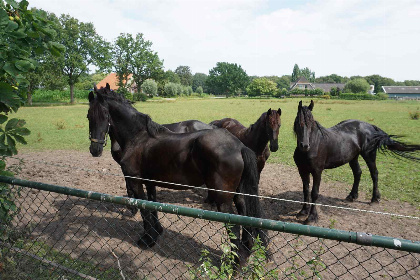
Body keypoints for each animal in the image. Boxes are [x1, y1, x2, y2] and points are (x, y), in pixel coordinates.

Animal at [87, 85, 268, 262]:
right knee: (245, 215)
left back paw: (235, 263)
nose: (95, 149)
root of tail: (239, 146)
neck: (138, 138)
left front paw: (147, 239)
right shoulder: (149, 181)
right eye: (89, 116)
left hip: (222, 198)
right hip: (238, 193)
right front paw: (156, 232)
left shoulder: (135, 182)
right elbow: (152, 205)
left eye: (104, 115)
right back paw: (246, 251)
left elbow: (144, 210)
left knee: (234, 226)